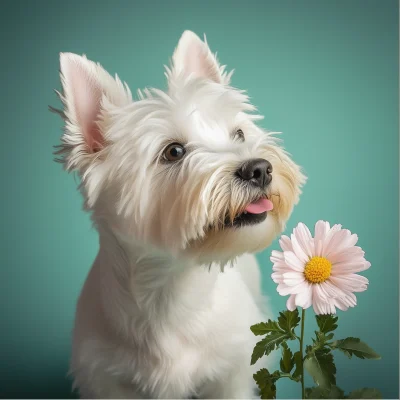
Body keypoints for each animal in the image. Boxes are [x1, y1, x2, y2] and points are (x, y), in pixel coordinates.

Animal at [52, 29, 304, 398]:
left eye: (239, 133)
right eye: (174, 152)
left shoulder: (232, 371)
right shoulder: (104, 377)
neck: (171, 291)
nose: (259, 169)